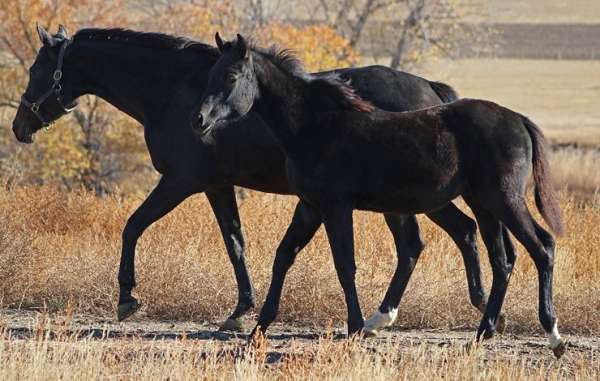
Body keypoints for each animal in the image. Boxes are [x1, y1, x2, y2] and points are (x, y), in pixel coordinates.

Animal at [11, 25, 496, 332]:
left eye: (36, 69)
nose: (19, 126)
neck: (171, 90)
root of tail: (432, 90)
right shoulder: (217, 185)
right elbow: (235, 244)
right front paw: (241, 311)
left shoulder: (180, 181)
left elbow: (133, 226)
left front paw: (127, 298)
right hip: (421, 200)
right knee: (455, 233)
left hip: (408, 202)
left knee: (423, 242)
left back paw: (391, 317)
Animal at [195, 33, 564, 356]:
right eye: (210, 75)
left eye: (232, 76)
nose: (198, 120)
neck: (315, 127)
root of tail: (518, 119)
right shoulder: (310, 206)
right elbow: (284, 255)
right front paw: (257, 331)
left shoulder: (336, 207)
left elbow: (345, 265)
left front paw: (356, 329)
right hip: (484, 204)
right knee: (501, 259)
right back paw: (482, 333)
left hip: (504, 199)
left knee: (542, 246)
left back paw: (553, 335)